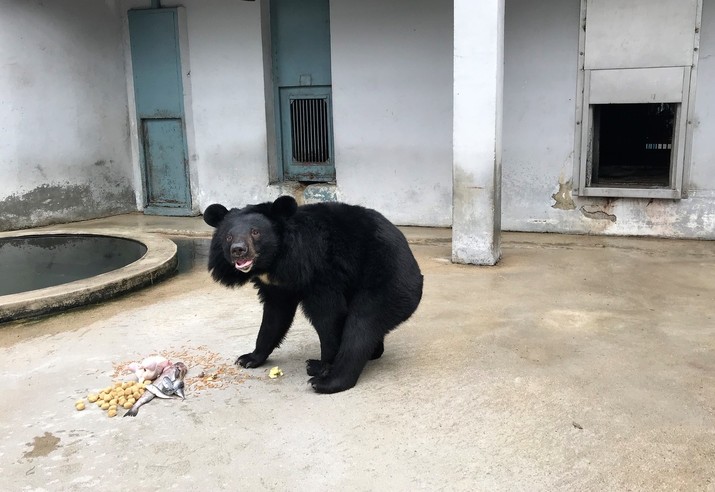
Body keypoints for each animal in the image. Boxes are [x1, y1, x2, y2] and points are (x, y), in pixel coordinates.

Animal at [204, 195, 422, 392]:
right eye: (228, 237)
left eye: (255, 232)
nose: (238, 250)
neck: (274, 262)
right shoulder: (277, 286)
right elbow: (274, 318)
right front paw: (248, 358)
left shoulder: (319, 270)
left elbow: (328, 316)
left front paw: (325, 366)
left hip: (386, 281)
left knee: (362, 326)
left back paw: (327, 380)